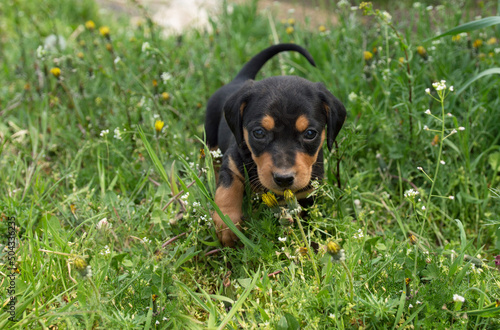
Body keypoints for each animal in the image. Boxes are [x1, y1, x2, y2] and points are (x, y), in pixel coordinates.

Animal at [205, 43, 346, 246]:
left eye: (310, 133)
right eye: (259, 133)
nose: (284, 179)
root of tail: (239, 79)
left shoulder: (308, 194)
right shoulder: (232, 161)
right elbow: (227, 189)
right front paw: (227, 225)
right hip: (211, 139)